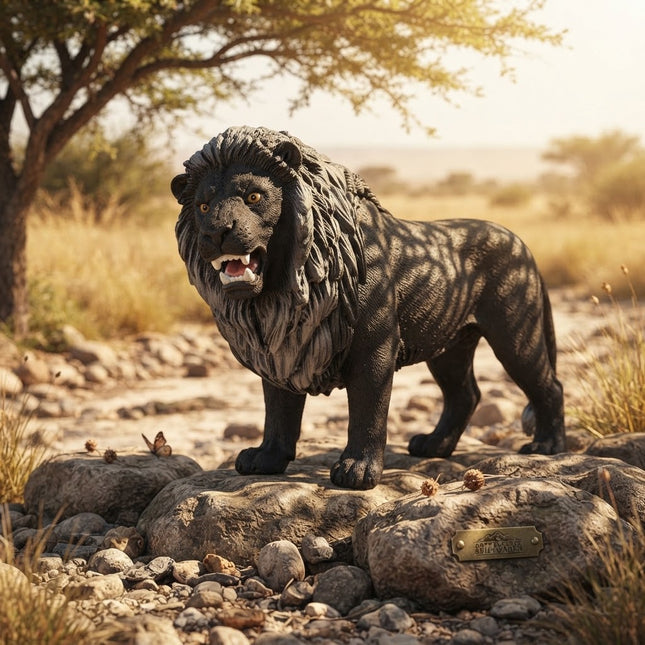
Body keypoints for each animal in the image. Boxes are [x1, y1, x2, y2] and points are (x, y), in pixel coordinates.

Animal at [172, 126, 565, 490]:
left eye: (253, 196)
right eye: (203, 206)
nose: (216, 232)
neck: (289, 290)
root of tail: (521, 243)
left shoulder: (372, 347)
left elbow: (368, 409)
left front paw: (357, 471)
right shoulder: (281, 348)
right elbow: (279, 410)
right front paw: (265, 459)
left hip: (514, 335)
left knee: (548, 385)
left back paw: (547, 446)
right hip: (450, 346)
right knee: (465, 394)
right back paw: (434, 446)